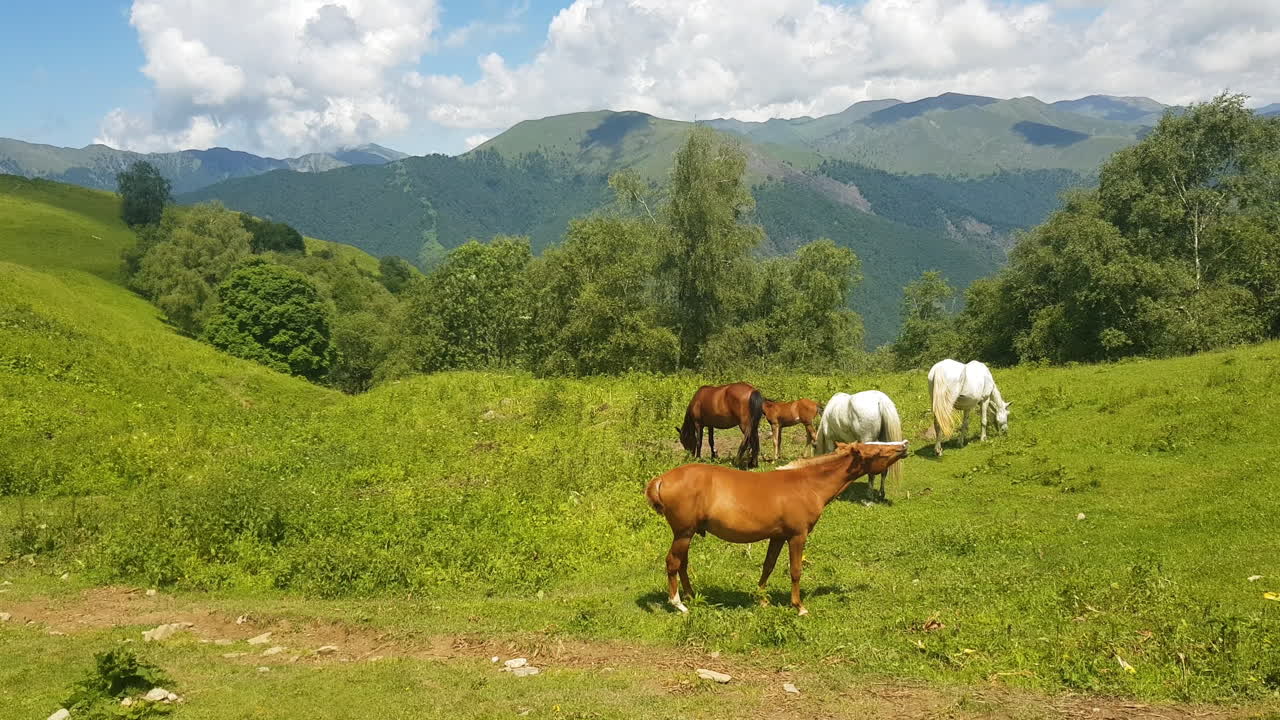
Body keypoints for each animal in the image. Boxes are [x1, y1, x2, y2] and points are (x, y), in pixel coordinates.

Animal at [645, 440, 909, 615]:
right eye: (876, 450)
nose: (904, 446)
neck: (807, 484)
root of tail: (661, 480)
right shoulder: (797, 536)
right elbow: (795, 571)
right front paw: (799, 606)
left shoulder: (778, 537)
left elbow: (768, 566)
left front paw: (761, 599)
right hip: (683, 533)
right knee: (673, 562)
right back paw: (679, 604)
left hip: (686, 535)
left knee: (682, 564)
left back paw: (691, 595)